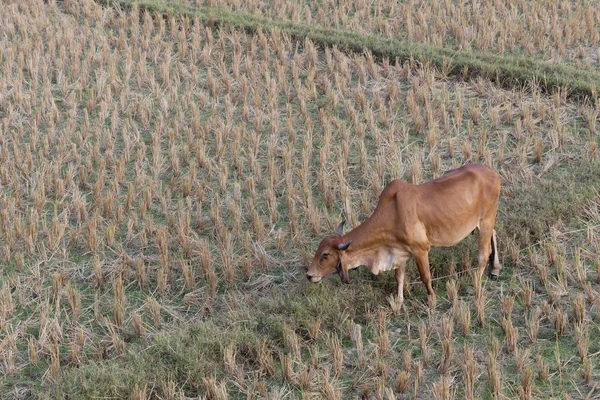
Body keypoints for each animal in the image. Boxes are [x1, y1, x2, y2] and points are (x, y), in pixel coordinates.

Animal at [310, 162, 502, 304]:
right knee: (493, 234)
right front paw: (399, 301)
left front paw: (432, 300)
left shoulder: (420, 250)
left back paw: (476, 283)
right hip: (484, 221)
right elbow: (399, 277)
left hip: (486, 219)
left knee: (483, 254)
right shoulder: (399, 252)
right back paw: (495, 269)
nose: (309, 275)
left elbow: (425, 277)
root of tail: (492, 173)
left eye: (325, 254)